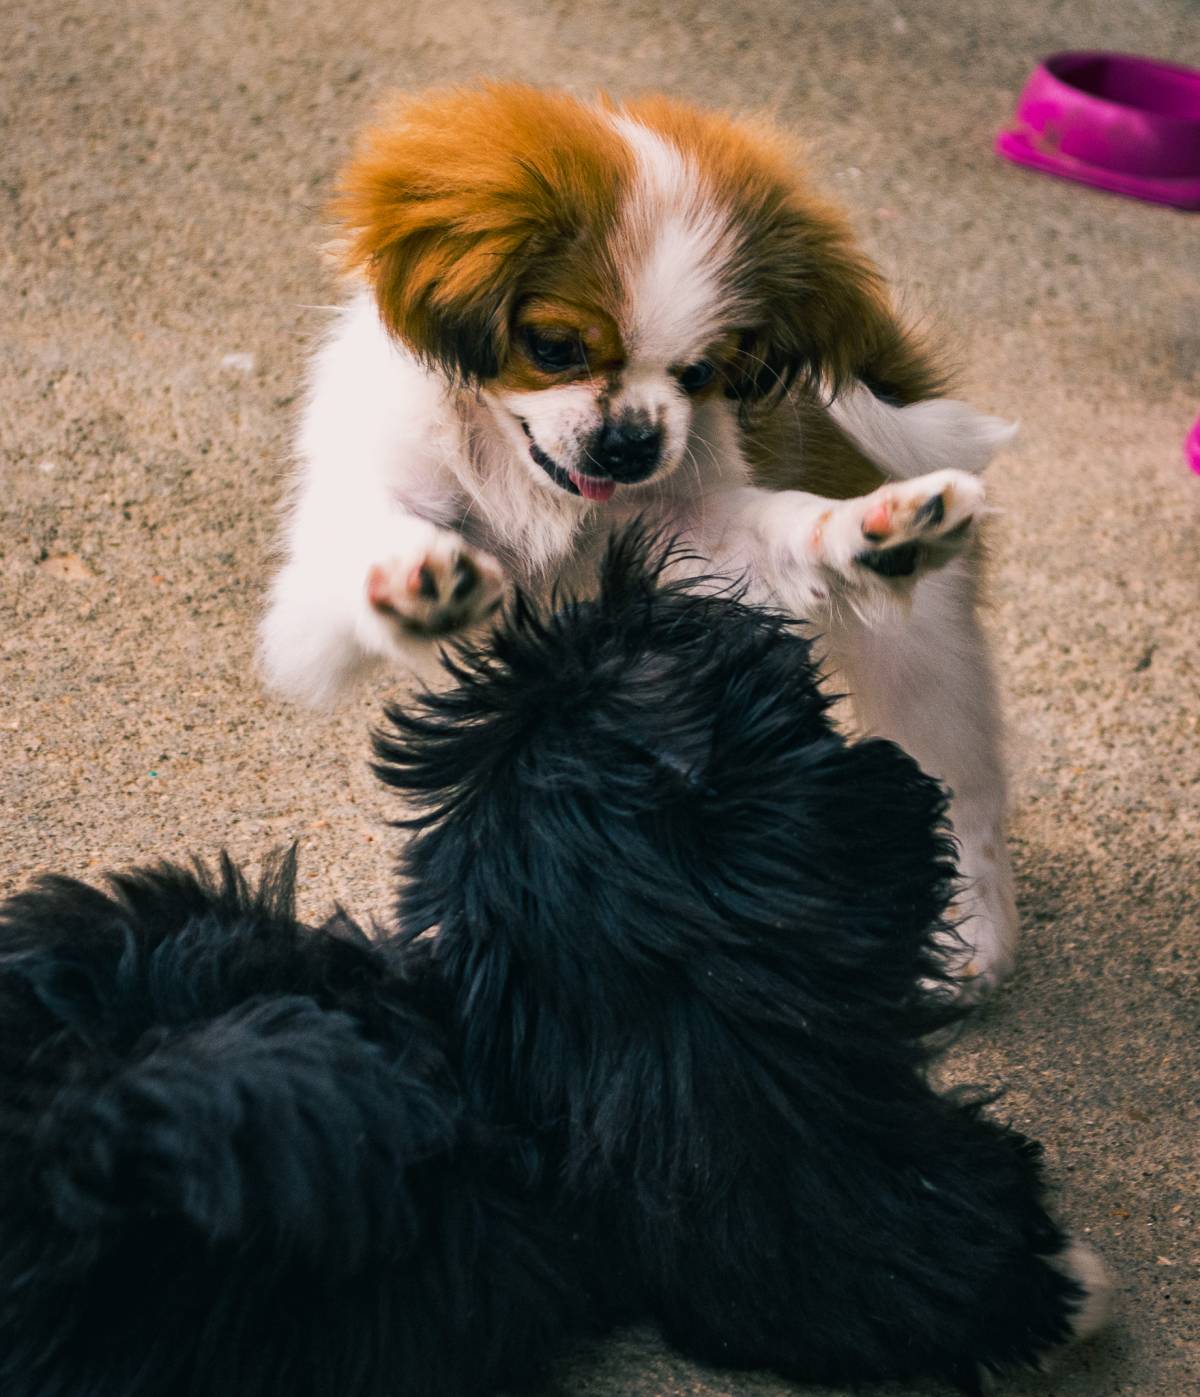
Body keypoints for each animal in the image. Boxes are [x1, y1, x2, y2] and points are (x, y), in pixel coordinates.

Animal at [259, 81, 1011, 994]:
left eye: (700, 374)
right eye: (553, 347)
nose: (631, 444)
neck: (529, 482)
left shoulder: (696, 539)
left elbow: (792, 528)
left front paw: (873, 531)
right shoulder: (314, 612)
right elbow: (369, 555)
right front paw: (419, 581)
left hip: (922, 661)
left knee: (966, 793)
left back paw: (977, 939)